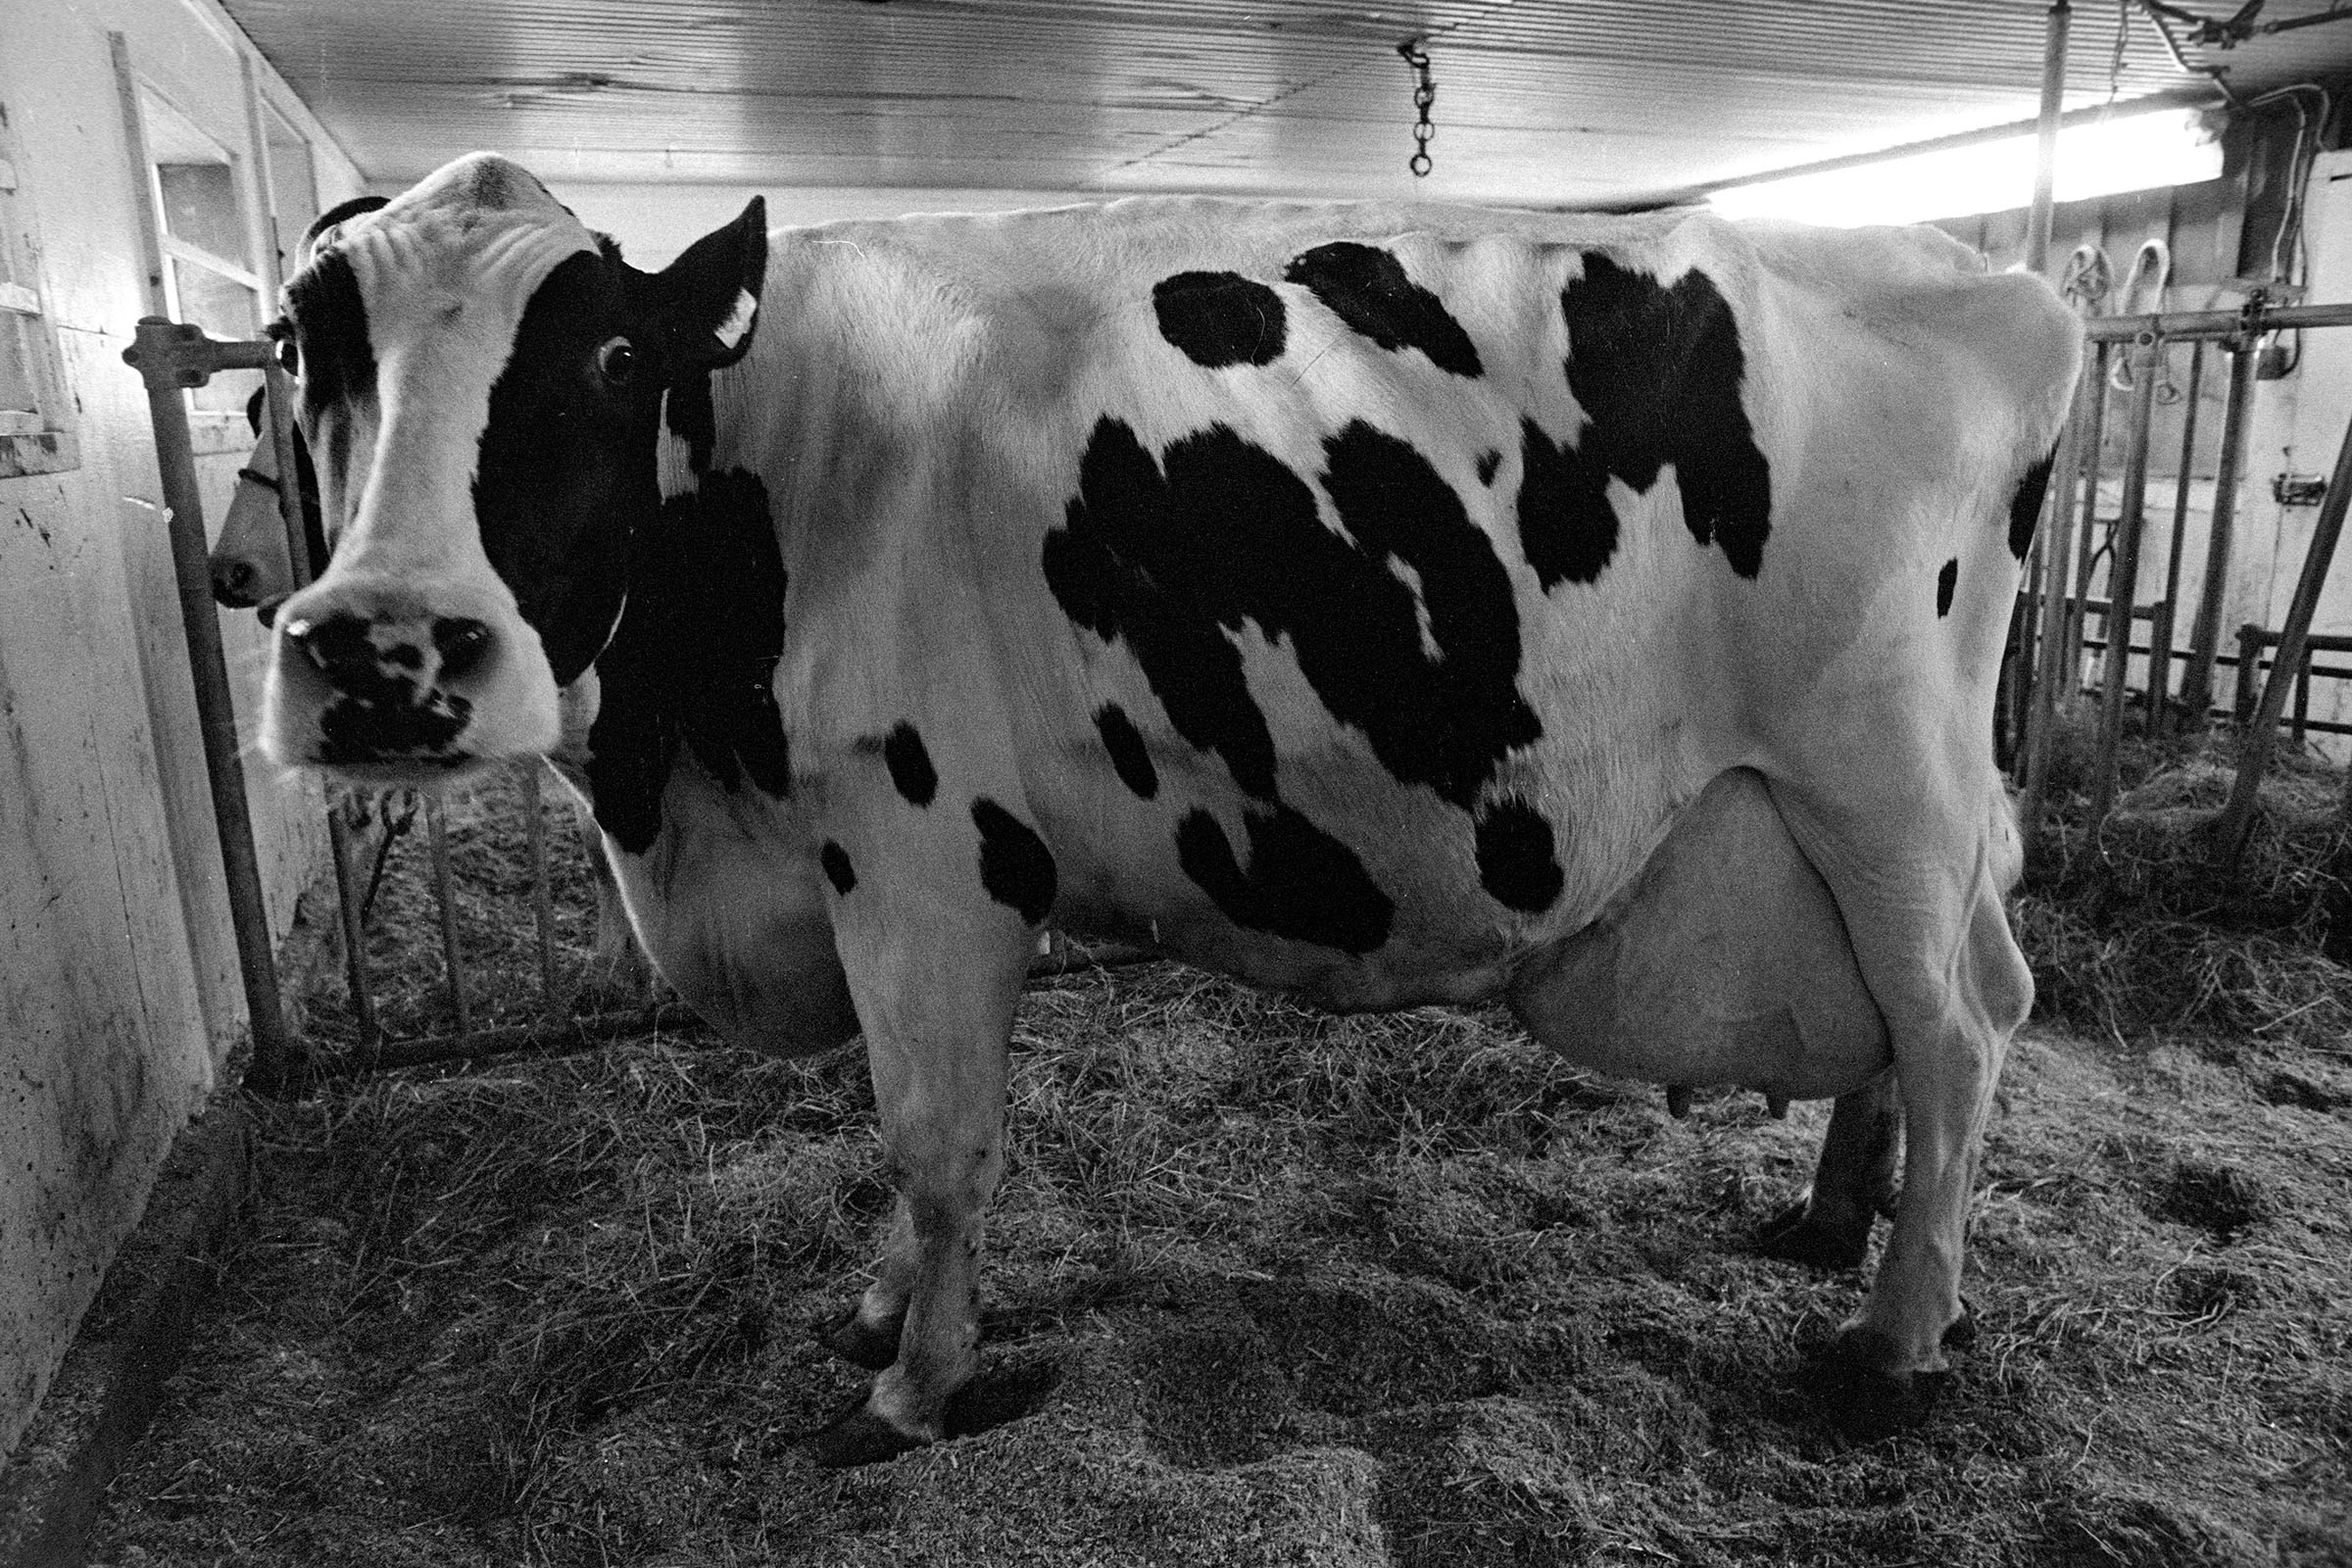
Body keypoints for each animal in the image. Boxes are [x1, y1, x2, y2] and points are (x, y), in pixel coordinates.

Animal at [254, 153, 2080, 1467]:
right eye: (296, 345)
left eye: (613, 353)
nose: (384, 646)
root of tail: (1987, 273)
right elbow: (900, 1139)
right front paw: (879, 1312)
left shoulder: (921, 855)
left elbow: (936, 1140)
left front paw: (913, 1386)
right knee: (1905, 1025)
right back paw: (1836, 1218)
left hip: (1879, 771)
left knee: (1961, 1021)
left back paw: (1896, 1343)